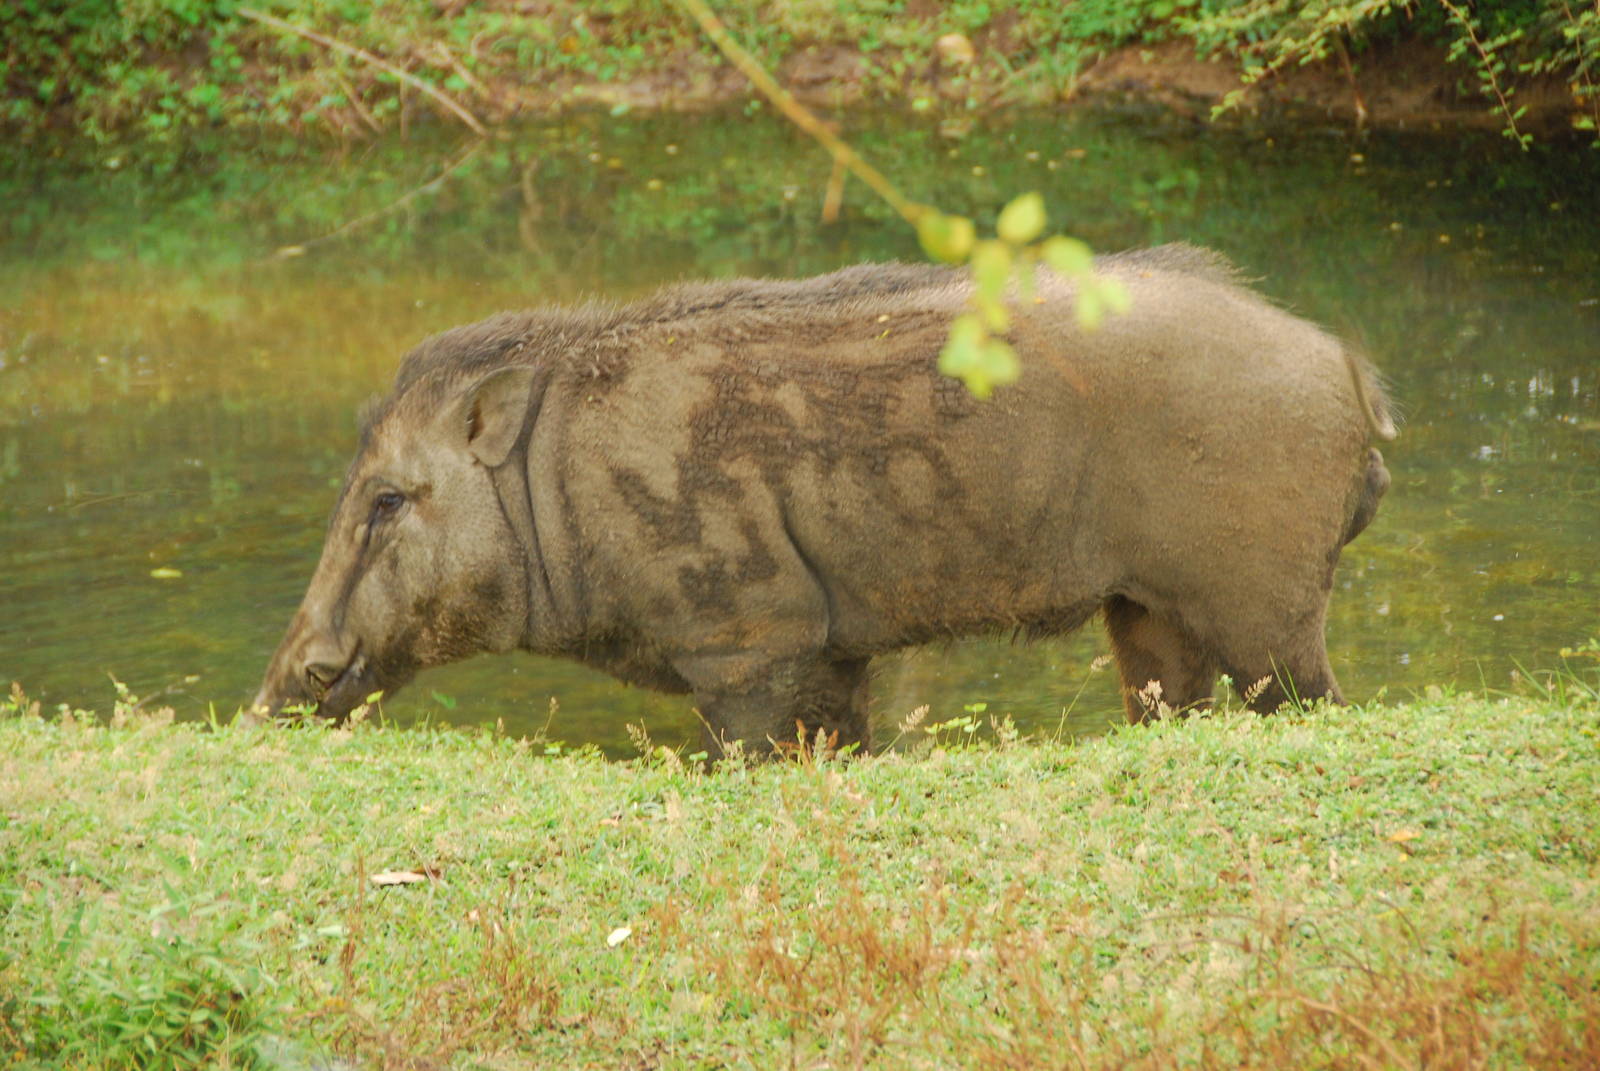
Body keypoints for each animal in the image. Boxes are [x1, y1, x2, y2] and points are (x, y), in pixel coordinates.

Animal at [253, 245, 1395, 757]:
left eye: (388, 499)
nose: (277, 689)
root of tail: (1352, 376)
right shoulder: (835, 655)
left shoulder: (744, 641)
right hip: (1151, 614)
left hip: (1268, 609)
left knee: (1320, 701)